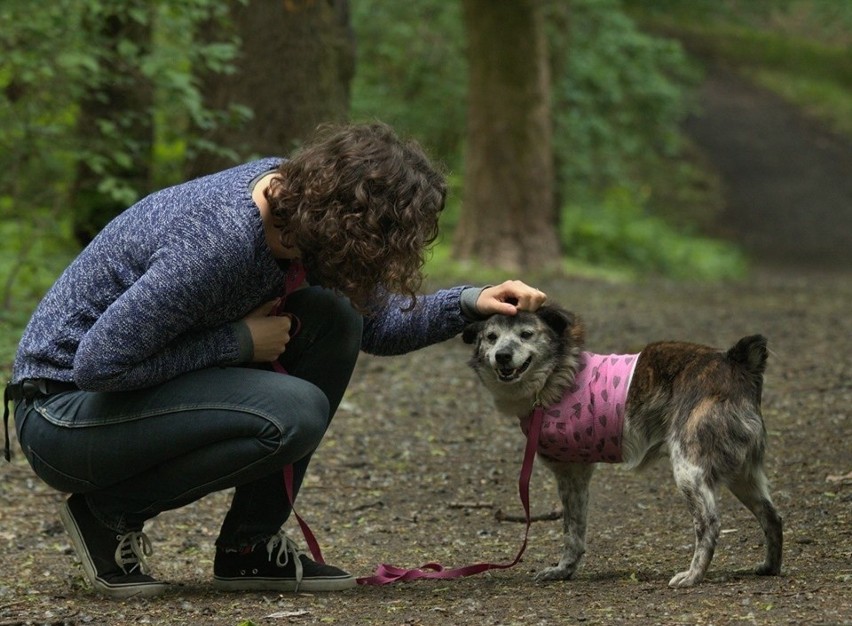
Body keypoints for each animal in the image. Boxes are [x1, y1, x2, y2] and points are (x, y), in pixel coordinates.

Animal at [462, 304, 784, 588]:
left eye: (526, 334)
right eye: (491, 337)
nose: (502, 356)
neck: (556, 376)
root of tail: (735, 363)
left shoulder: (569, 472)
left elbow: (569, 530)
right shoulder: (576, 475)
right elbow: (575, 531)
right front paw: (564, 571)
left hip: (689, 469)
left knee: (709, 523)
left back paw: (693, 576)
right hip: (744, 474)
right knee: (772, 516)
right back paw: (770, 567)